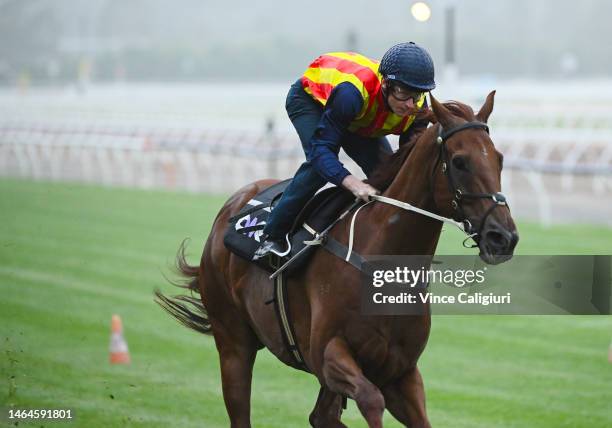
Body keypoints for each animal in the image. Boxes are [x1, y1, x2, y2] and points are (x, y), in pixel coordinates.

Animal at [157, 92, 516, 426]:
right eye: (459, 162)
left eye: (499, 159)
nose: (504, 237)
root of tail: (232, 206)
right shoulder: (328, 355)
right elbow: (370, 400)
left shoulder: (401, 371)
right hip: (233, 342)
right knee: (240, 407)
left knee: (321, 416)